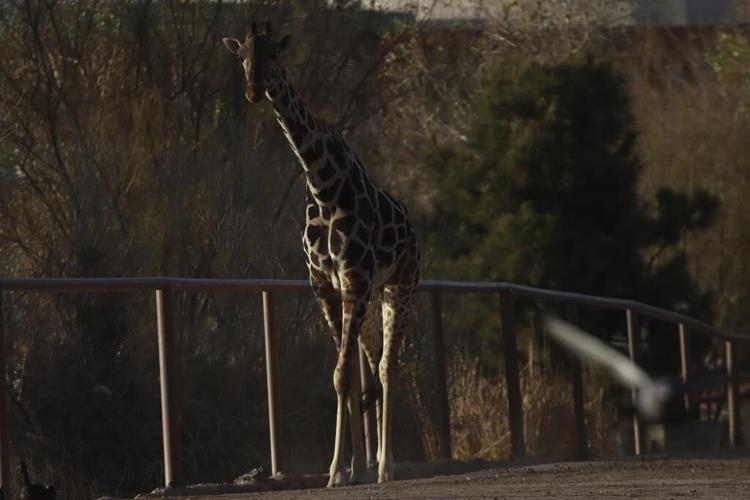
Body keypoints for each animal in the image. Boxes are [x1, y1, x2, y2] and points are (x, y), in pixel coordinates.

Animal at [223, 23, 419, 487]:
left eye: (274, 55)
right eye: (241, 56)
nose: (254, 90)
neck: (323, 186)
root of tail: (413, 228)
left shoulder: (355, 280)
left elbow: (344, 373)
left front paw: (337, 470)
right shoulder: (324, 285)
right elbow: (340, 376)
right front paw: (344, 470)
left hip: (399, 286)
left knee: (389, 366)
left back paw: (387, 466)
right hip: (371, 297)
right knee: (373, 361)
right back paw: (372, 462)